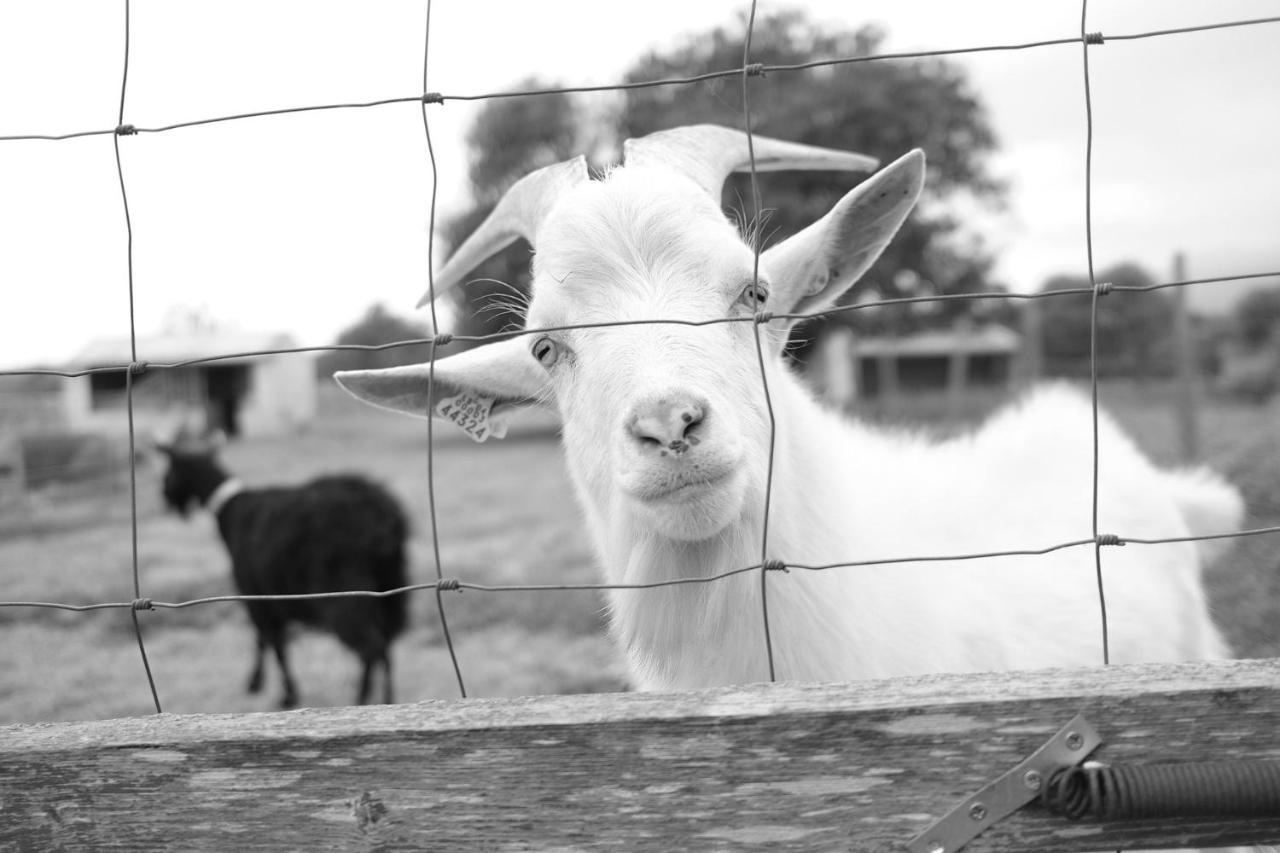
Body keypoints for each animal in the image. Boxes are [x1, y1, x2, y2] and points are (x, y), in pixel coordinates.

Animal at [156, 435, 404, 706]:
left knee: (371, 647)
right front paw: (258, 683)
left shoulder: (255, 595)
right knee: (386, 644)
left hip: (346, 593)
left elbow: (273, 643)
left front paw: (285, 694)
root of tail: (382, 513)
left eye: (169, 471)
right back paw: (387, 698)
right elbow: (266, 639)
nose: (165, 496)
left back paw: (361, 699)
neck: (232, 512)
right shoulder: (265, 599)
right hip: (389, 587)